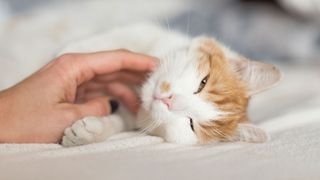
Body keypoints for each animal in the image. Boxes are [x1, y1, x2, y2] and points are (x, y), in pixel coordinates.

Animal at [59, 22, 280, 146]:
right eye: (203, 82)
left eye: (191, 124)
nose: (169, 100)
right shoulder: (147, 33)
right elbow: (125, 38)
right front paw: (65, 55)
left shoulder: (134, 114)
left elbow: (120, 120)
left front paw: (90, 131)